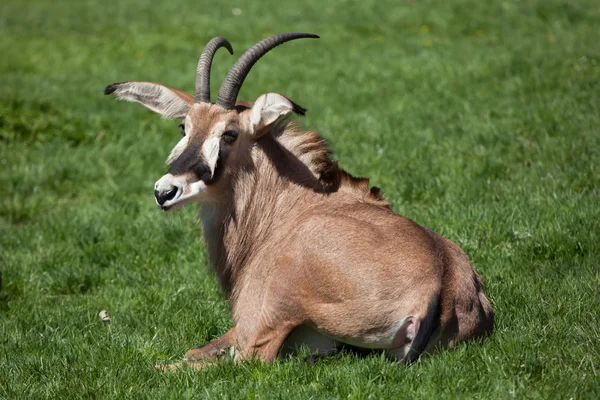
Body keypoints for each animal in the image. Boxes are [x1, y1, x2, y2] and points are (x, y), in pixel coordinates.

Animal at [105, 32, 494, 368]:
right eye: (184, 127)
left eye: (229, 133)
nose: (165, 191)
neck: (287, 206)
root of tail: (438, 280)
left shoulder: (246, 322)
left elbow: (198, 352)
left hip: (281, 297)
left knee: (245, 360)